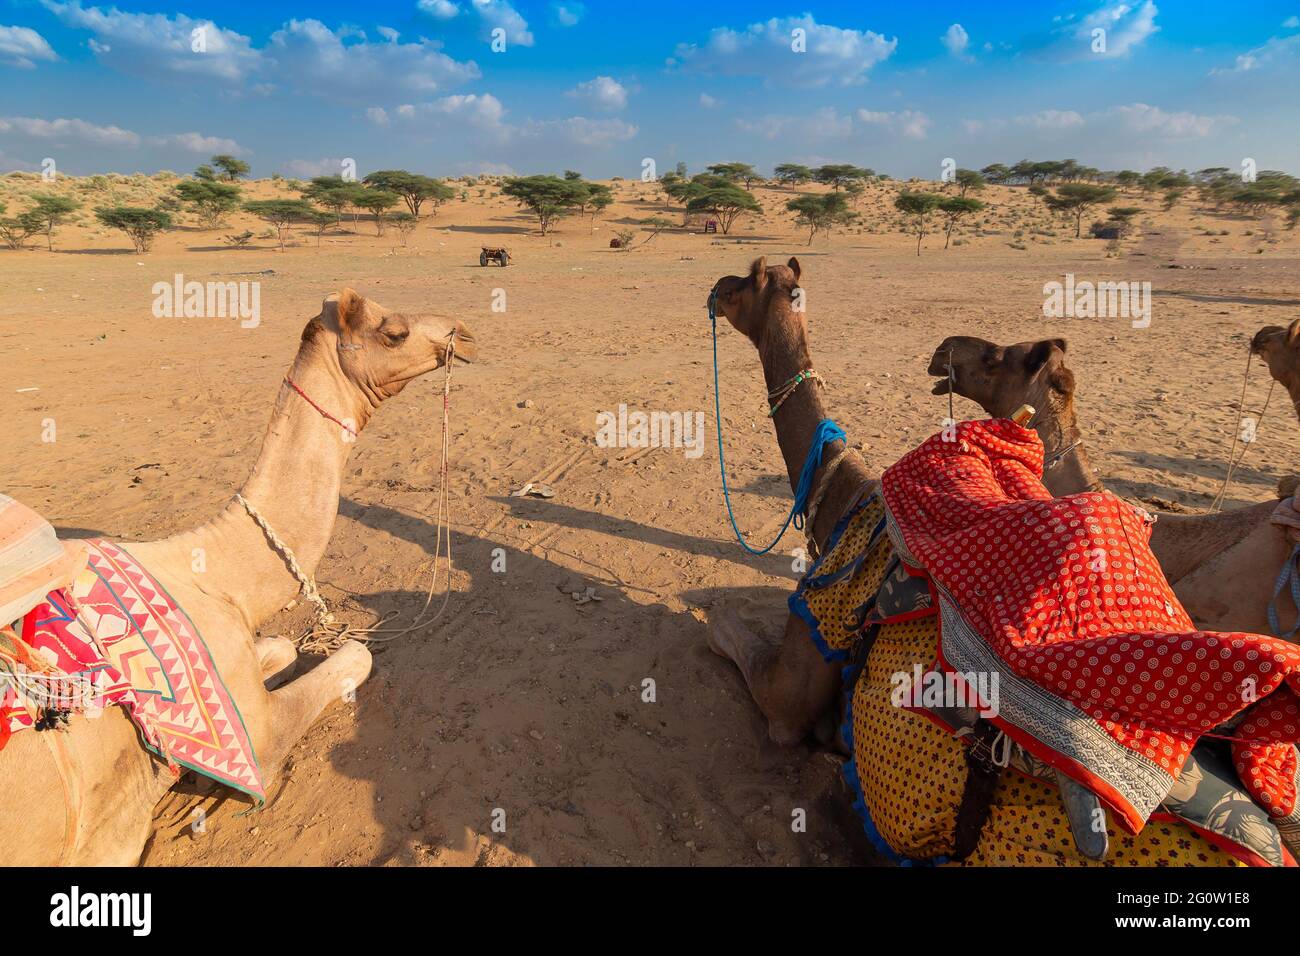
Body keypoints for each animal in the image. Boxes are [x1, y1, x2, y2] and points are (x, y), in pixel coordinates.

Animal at [0, 288, 476, 865]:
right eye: (395, 332)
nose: (465, 334)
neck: (214, 576)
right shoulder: (254, 737)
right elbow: (356, 656)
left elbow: (285, 646)